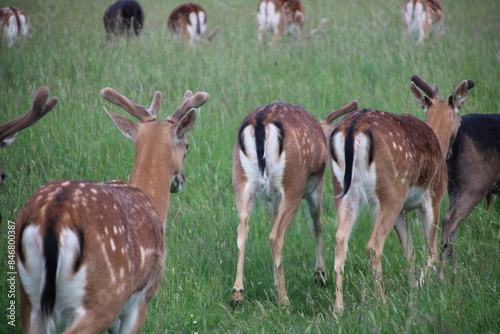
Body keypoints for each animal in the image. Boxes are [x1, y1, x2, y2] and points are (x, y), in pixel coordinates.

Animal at [14, 87, 208, 332]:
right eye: (187, 146)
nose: (181, 180)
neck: (152, 201)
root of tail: (52, 218)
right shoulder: (142, 299)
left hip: (28, 297)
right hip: (105, 295)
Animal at [230, 99, 356, 306]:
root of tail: (260, 123)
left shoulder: (272, 199)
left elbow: (272, 220)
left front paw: (275, 279)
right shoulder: (316, 188)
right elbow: (317, 224)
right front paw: (320, 274)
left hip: (240, 179)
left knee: (242, 229)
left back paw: (237, 293)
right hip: (293, 183)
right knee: (276, 236)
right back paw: (284, 300)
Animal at [330, 74, 474, 312]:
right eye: (460, 119)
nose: (452, 150)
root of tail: (353, 128)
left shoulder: (403, 211)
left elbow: (410, 252)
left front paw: (414, 287)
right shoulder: (433, 196)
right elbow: (431, 250)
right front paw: (419, 290)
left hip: (342, 190)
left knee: (341, 240)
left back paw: (338, 309)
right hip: (392, 190)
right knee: (373, 245)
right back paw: (382, 301)